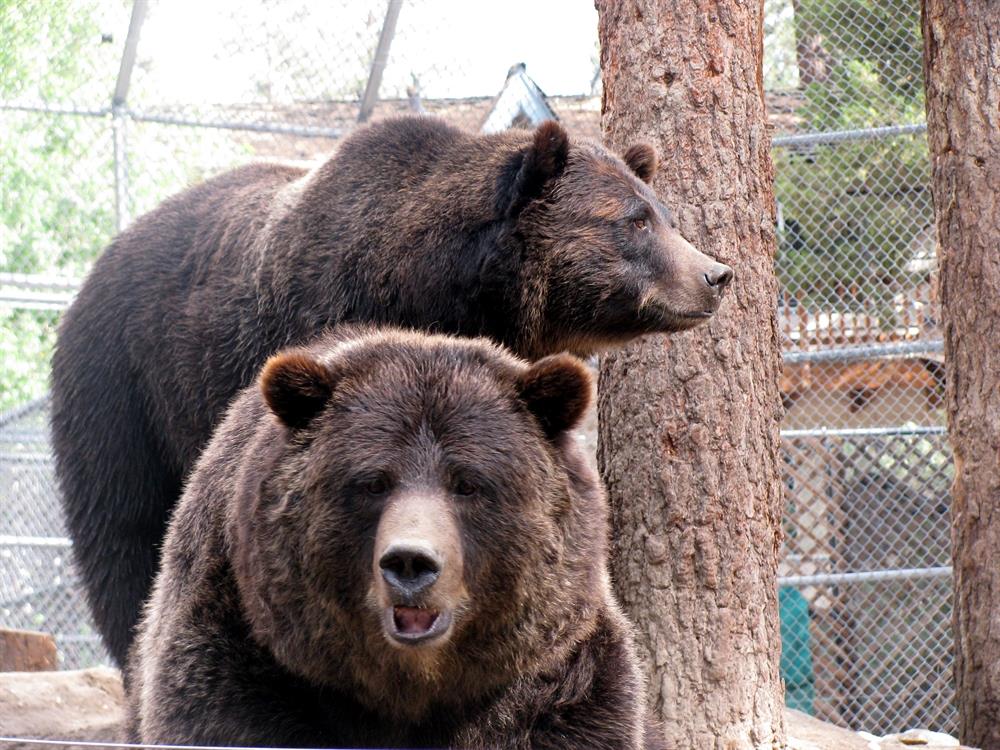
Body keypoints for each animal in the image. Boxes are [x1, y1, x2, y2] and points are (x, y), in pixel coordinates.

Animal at [51, 115, 733, 666]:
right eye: (634, 221)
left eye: (664, 214)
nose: (715, 274)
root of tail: (99, 262)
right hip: (124, 388)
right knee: (123, 532)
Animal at [124, 327, 664, 750]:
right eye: (373, 482)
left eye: (468, 483)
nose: (410, 562)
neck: (409, 689)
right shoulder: (244, 655)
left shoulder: (555, 685)